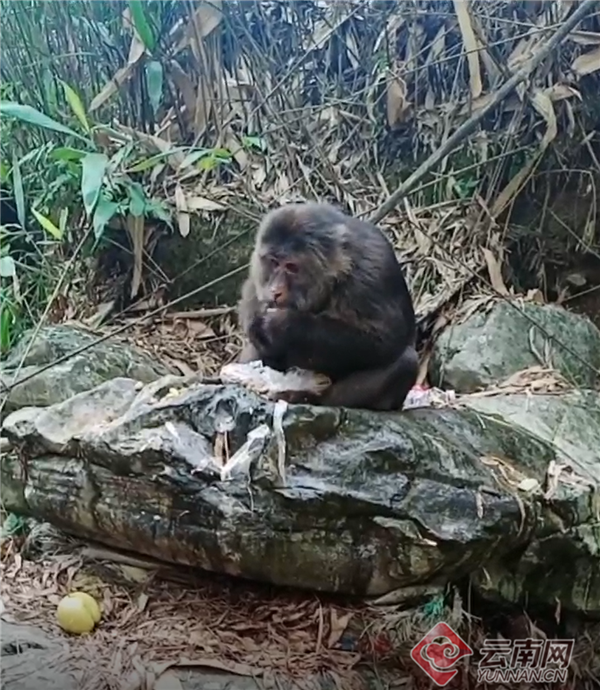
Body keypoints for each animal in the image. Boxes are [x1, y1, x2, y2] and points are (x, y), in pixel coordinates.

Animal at [237, 202, 419, 412]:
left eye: (291, 267)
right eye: (273, 262)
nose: (276, 290)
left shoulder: (370, 275)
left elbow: (382, 338)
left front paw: (284, 326)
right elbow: (252, 291)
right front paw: (256, 321)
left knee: (406, 361)